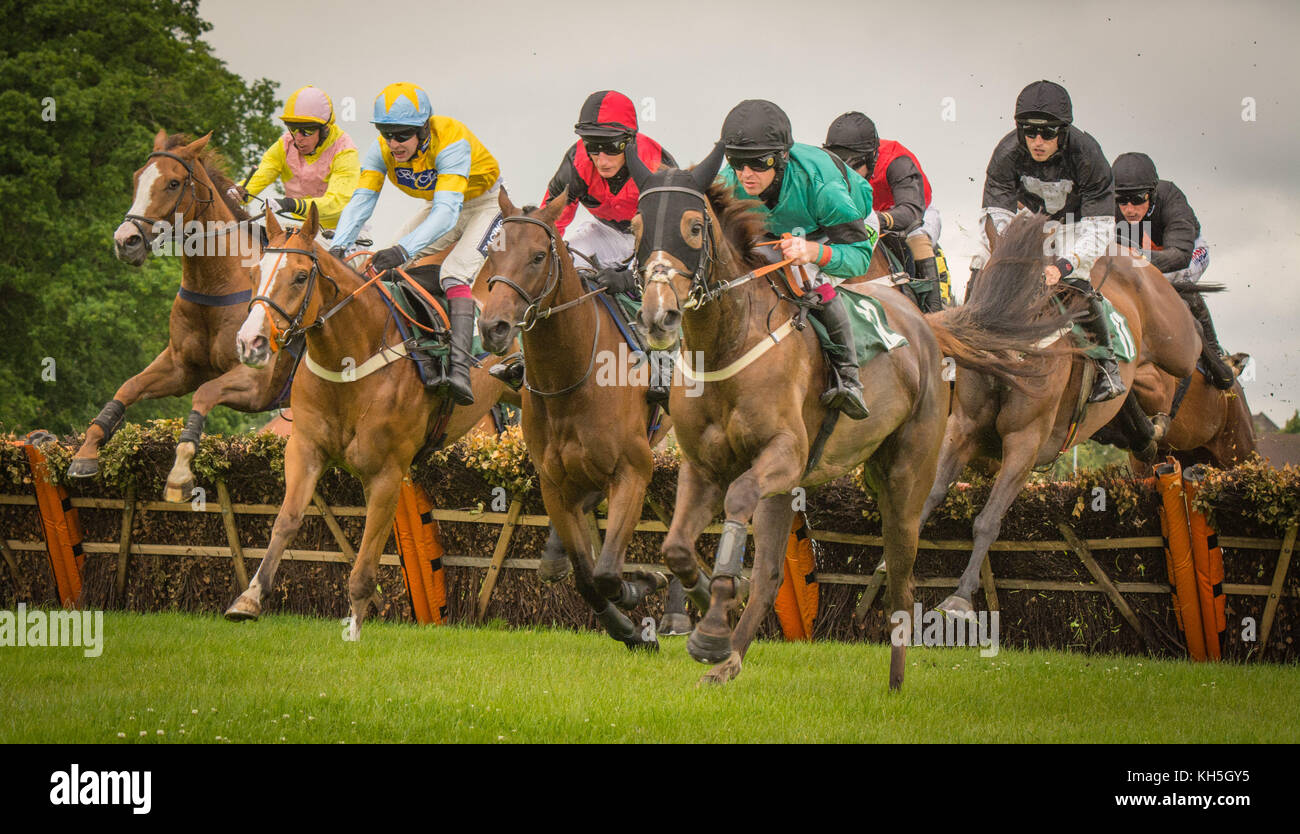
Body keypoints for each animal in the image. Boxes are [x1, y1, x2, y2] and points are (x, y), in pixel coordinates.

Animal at [68, 128, 292, 498]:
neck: (216, 288)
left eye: (173, 183)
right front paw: (86, 452)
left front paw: (180, 471)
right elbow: (127, 388)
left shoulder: (258, 381)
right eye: (137, 178)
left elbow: (205, 394)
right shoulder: (180, 367)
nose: (125, 241)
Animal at [223, 206, 506, 628]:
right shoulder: (305, 448)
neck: (350, 361)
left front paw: (356, 620)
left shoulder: (388, 472)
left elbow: (368, 555)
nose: (249, 342)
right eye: (257, 271)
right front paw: (250, 597)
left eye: (301, 277)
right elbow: (287, 519)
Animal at [480, 189, 681, 649]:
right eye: (493, 254)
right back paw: (554, 558)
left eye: (538, 256)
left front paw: (643, 586)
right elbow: (588, 579)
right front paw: (627, 629)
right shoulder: (553, 485)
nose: (493, 327)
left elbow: (607, 573)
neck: (570, 382)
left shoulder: (633, 471)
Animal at [631, 150, 1076, 685]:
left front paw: (714, 621)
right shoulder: (702, 468)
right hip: (803, 486)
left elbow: (737, 498)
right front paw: (705, 610)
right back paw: (729, 659)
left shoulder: (783, 453)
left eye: (694, 228)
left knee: (902, 579)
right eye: (635, 228)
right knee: (770, 576)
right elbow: (676, 546)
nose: (658, 316)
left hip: (908, 475)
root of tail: (926, 326)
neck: (730, 342)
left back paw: (897, 682)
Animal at [920, 214, 1201, 618]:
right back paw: (1150, 431)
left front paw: (961, 595)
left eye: (1037, 294)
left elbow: (988, 521)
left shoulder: (1025, 441)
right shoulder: (963, 428)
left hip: (1175, 344)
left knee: (1192, 350)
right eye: (984, 281)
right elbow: (931, 493)